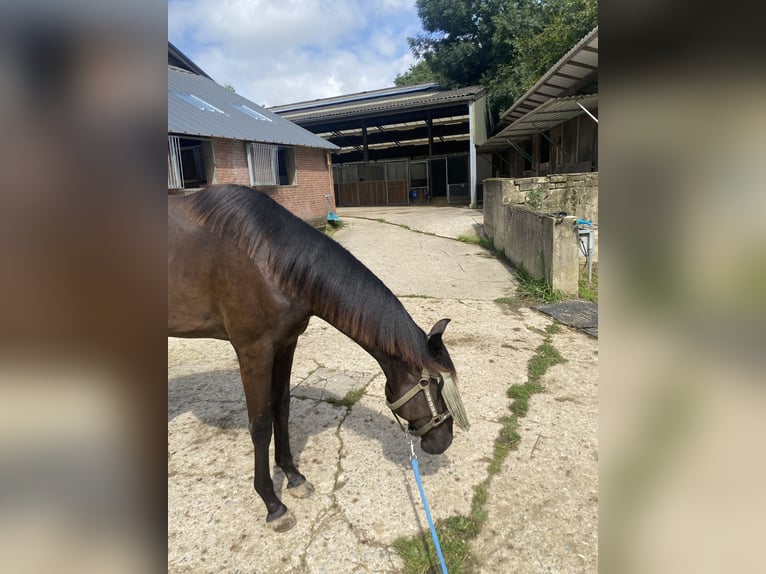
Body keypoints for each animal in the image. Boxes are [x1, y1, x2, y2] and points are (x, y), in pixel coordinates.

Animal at [168, 184, 469, 531]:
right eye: (431, 384)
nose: (444, 441)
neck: (265, 259)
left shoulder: (286, 344)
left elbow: (281, 408)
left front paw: (293, 477)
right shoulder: (253, 351)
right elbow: (261, 425)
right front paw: (273, 504)